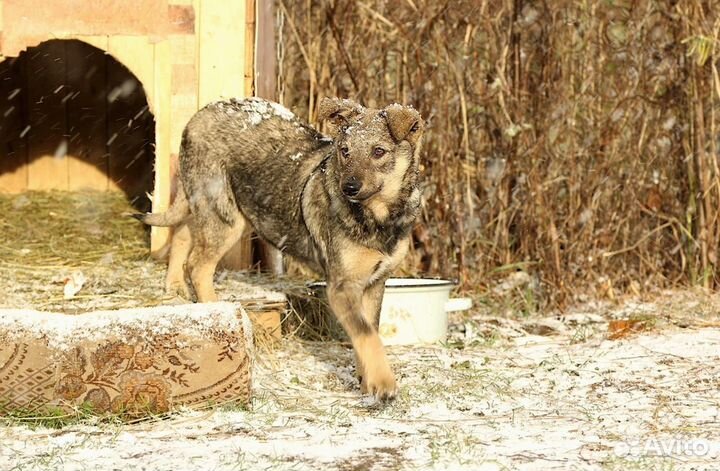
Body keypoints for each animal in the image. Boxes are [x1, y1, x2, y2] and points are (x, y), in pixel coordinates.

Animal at [135, 97, 424, 400]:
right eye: (345, 151)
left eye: (378, 152)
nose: (349, 188)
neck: (379, 218)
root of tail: (201, 113)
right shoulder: (341, 287)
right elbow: (367, 334)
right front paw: (383, 382)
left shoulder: (374, 283)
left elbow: (369, 332)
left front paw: (367, 382)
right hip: (227, 217)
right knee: (198, 266)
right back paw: (219, 313)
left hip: (220, 210)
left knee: (181, 233)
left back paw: (174, 285)